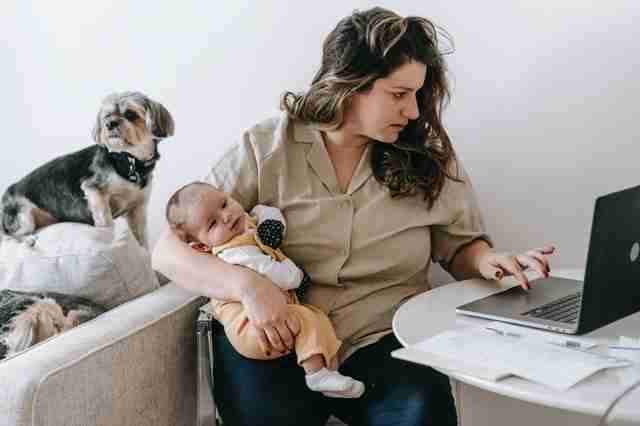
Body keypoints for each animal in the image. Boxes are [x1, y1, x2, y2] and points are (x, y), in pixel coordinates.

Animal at [0, 91, 175, 248]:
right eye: (107, 115)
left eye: (131, 114)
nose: (109, 124)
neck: (129, 161)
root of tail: (7, 193)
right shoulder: (94, 191)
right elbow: (106, 221)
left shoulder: (137, 208)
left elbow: (141, 239)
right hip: (23, 216)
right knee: (9, 236)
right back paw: (28, 240)